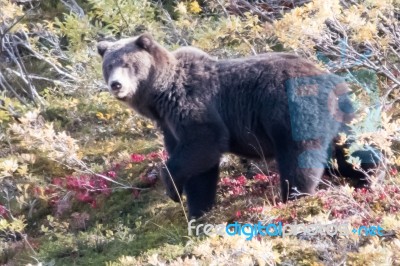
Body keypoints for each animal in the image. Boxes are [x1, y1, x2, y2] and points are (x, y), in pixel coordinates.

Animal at [97, 32, 382, 218]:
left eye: (128, 64)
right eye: (109, 65)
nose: (116, 84)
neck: (161, 96)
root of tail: (330, 80)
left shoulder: (194, 106)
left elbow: (205, 143)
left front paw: (173, 189)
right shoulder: (170, 125)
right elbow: (200, 168)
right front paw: (198, 210)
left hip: (291, 110)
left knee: (299, 157)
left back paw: (294, 196)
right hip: (339, 116)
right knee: (347, 149)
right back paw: (370, 172)